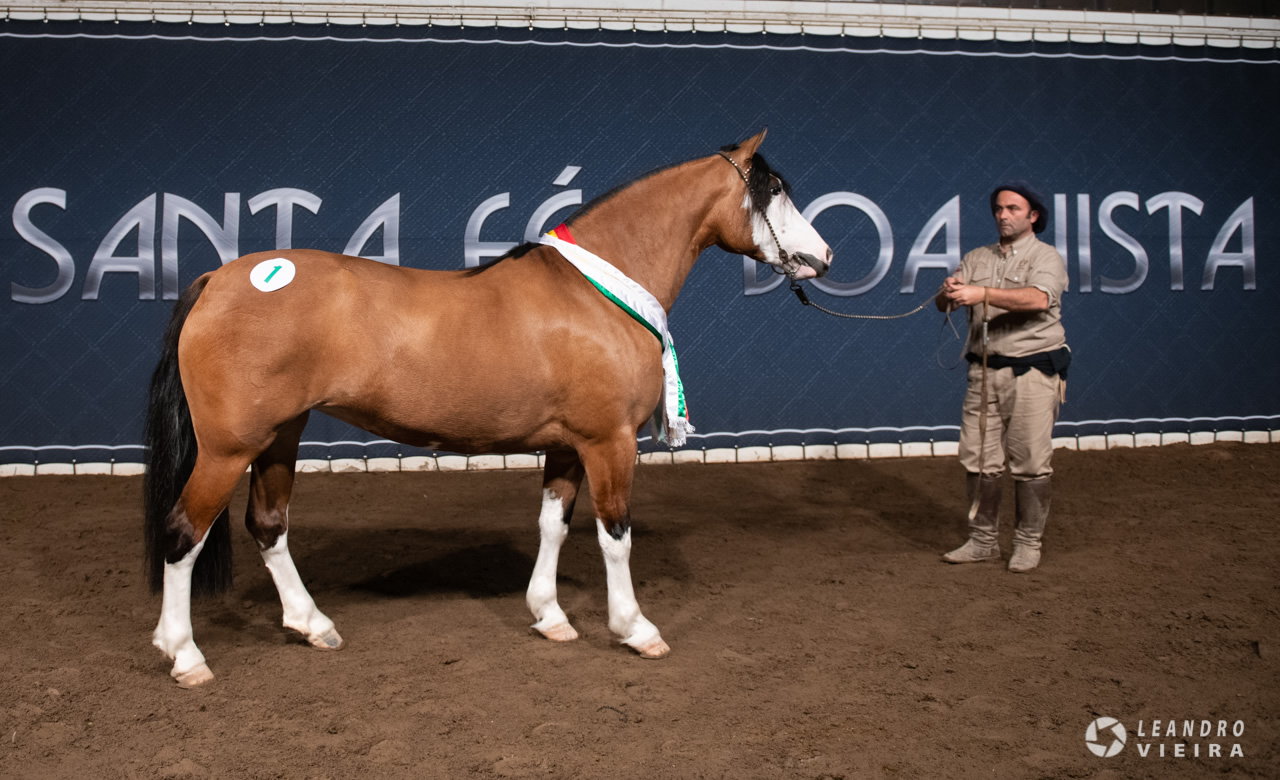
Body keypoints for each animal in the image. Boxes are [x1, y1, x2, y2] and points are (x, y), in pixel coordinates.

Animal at [145, 130, 834, 686]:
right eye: (774, 190)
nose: (823, 257)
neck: (595, 290)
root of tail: (218, 280)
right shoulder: (609, 441)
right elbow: (615, 535)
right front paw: (636, 629)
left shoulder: (568, 445)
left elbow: (553, 524)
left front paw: (550, 615)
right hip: (229, 448)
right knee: (183, 532)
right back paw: (186, 656)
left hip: (281, 436)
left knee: (268, 525)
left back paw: (311, 624)